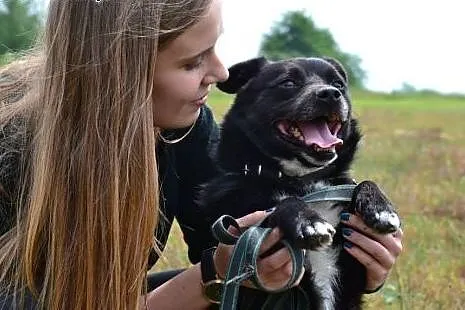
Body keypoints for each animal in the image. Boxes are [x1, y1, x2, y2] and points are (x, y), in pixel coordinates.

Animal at [199, 57, 398, 308]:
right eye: (288, 83)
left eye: (338, 84)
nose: (331, 94)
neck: (303, 181)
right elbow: (282, 203)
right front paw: (308, 223)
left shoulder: (354, 267)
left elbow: (362, 183)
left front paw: (381, 209)